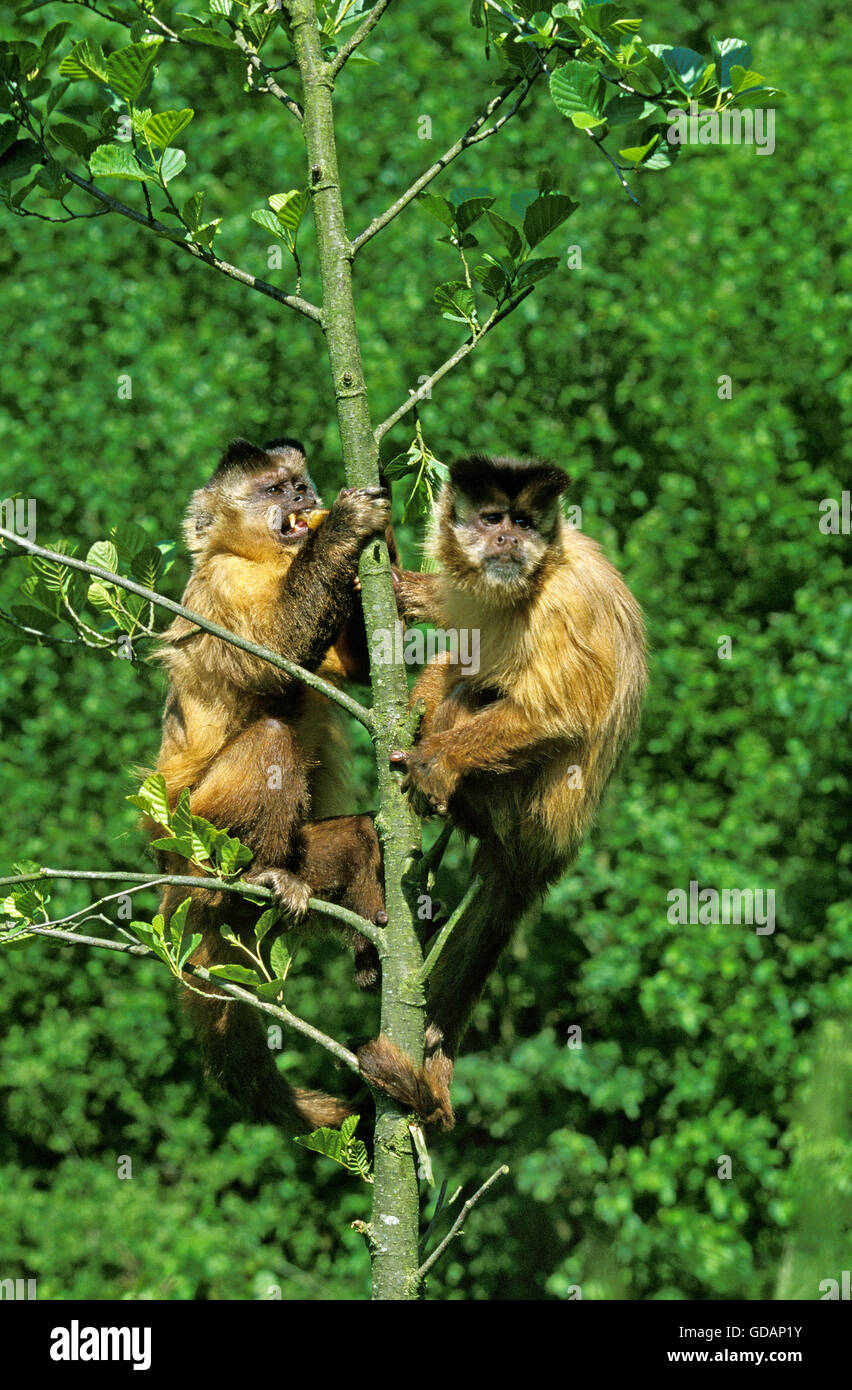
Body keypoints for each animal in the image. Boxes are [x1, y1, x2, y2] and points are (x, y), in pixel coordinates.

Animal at [152, 439, 389, 1134]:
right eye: (274, 490)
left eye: (299, 482)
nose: (306, 498)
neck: (264, 561)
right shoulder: (220, 585)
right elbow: (274, 656)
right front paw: (344, 528)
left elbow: (353, 666)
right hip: (199, 835)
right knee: (272, 740)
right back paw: (256, 878)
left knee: (359, 836)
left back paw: (365, 943)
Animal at [355, 455, 644, 1128]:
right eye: (492, 519)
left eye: (523, 522)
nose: (509, 541)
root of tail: (546, 851)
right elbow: (458, 616)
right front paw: (404, 583)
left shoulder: (566, 602)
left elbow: (561, 714)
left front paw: (437, 763)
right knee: (463, 661)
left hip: (516, 806)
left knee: (477, 690)